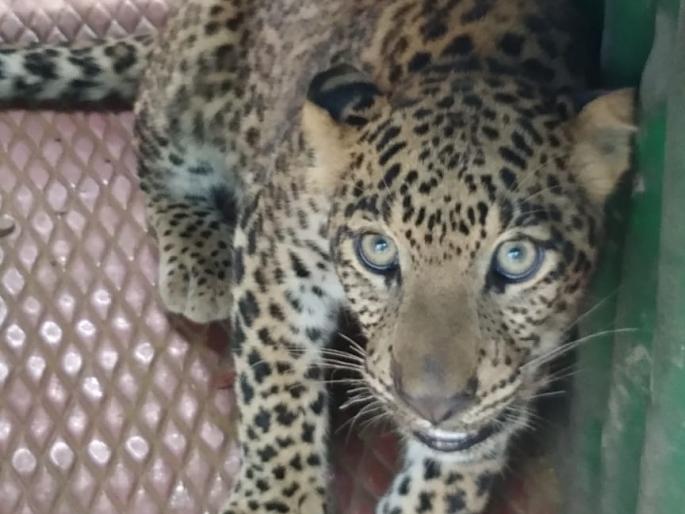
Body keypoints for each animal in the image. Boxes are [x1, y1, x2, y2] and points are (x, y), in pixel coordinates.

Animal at [0, 0, 636, 513]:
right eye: (377, 251)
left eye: (518, 258)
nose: (432, 405)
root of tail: (166, 32)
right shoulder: (273, 248)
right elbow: (275, 388)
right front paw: (275, 500)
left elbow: (461, 462)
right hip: (189, 78)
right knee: (151, 143)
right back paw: (197, 261)